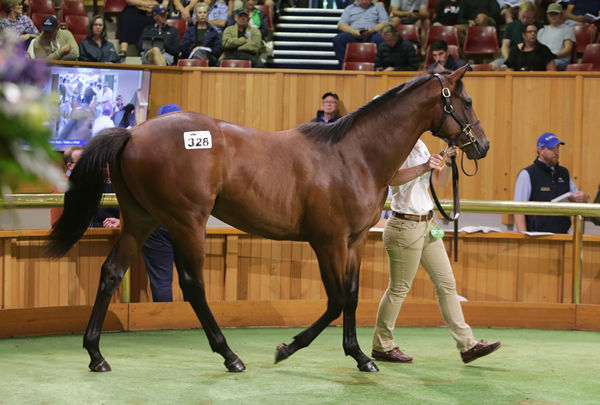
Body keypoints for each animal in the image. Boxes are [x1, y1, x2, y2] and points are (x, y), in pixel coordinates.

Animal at [47, 66, 488, 372]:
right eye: (465, 100)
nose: (481, 145)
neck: (353, 155)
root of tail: (133, 133)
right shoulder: (327, 242)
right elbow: (335, 301)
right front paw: (286, 348)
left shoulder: (355, 241)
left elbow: (351, 296)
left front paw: (361, 356)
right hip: (186, 222)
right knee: (192, 286)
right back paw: (229, 355)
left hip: (140, 220)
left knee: (111, 273)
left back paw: (96, 354)